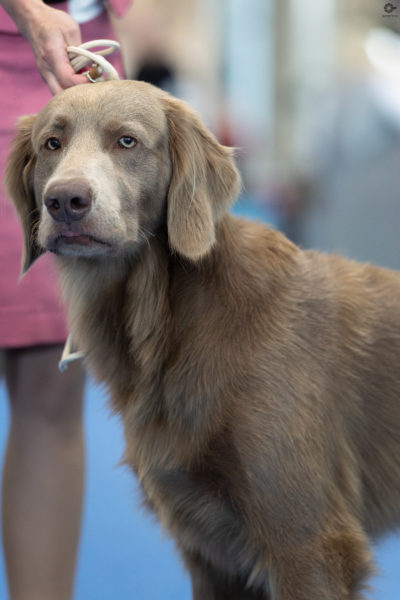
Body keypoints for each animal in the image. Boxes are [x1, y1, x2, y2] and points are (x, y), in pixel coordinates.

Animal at [5, 80, 400, 599]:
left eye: (127, 141)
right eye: (52, 143)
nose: (66, 200)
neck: (169, 319)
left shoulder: (307, 544)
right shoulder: (216, 553)